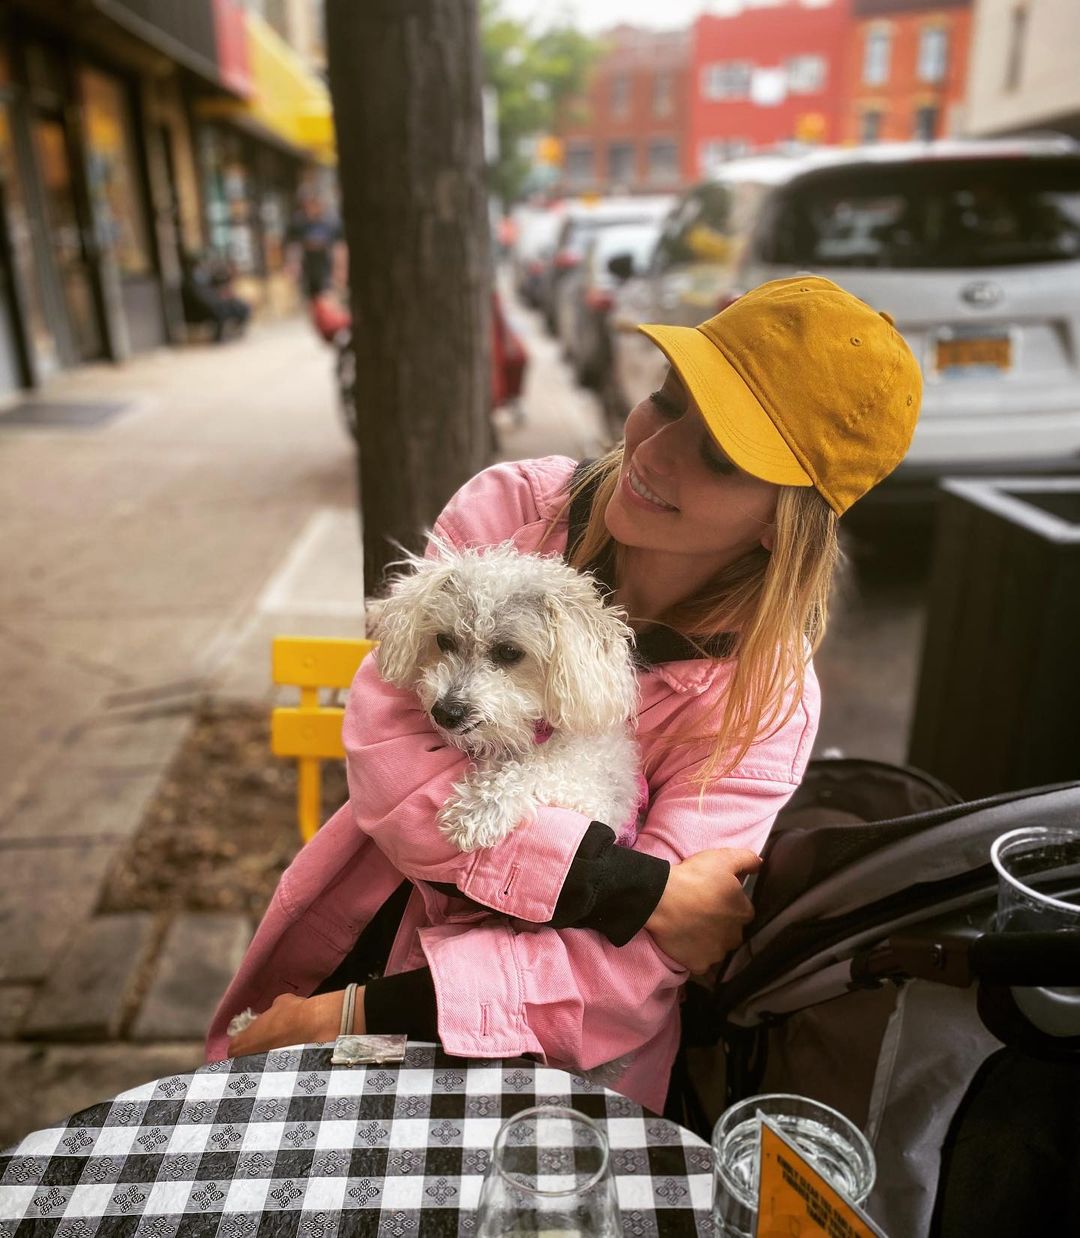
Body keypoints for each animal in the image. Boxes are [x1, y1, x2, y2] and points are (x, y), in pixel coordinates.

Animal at [371, 541, 643, 852]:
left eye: (509, 652)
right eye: (444, 640)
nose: (445, 713)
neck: (530, 737)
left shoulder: (593, 795)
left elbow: (539, 772)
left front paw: (479, 809)